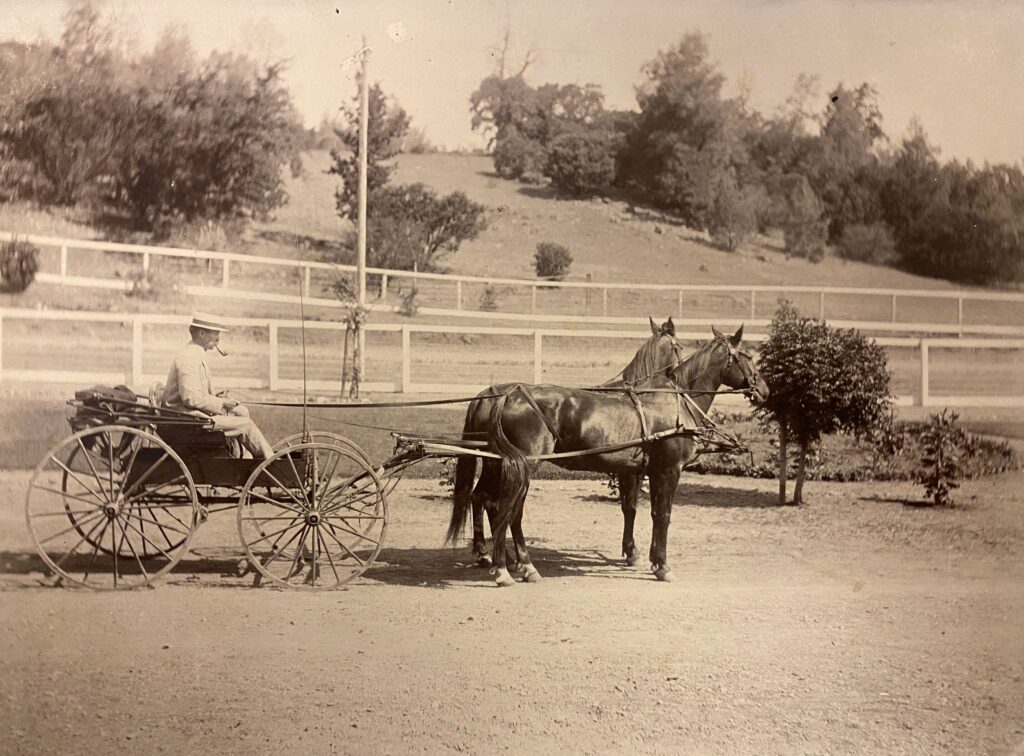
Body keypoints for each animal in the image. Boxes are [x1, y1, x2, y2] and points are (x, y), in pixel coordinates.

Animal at [448, 317, 770, 581]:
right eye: (748, 356)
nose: (764, 390)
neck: (675, 401)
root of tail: (504, 396)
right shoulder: (668, 470)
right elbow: (662, 514)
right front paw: (661, 565)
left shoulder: (640, 470)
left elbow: (639, 510)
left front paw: (642, 556)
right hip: (523, 466)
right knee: (505, 509)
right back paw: (512, 566)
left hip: (498, 464)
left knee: (486, 500)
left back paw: (502, 560)